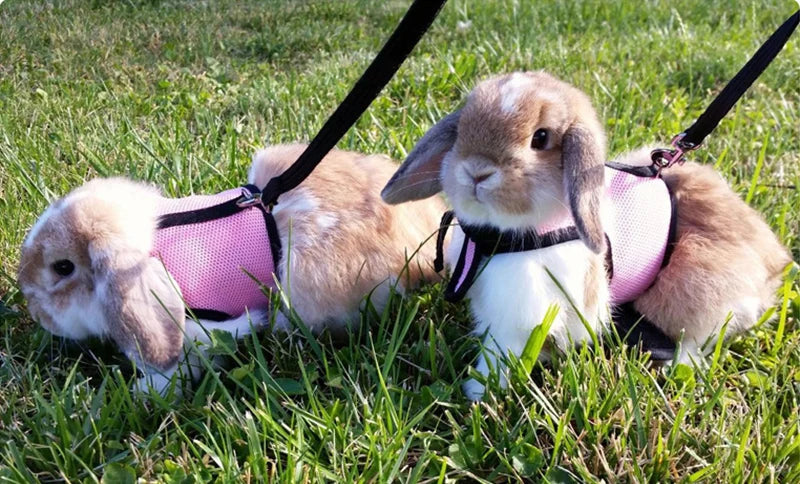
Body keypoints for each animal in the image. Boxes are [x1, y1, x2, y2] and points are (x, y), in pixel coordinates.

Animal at [380, 71, 791, 400]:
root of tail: (775, 264)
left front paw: (480, 391)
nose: (476, 172)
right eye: (463, 127)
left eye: (541, 138)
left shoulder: (520, 316)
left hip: (694, 290)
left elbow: (501, 353)